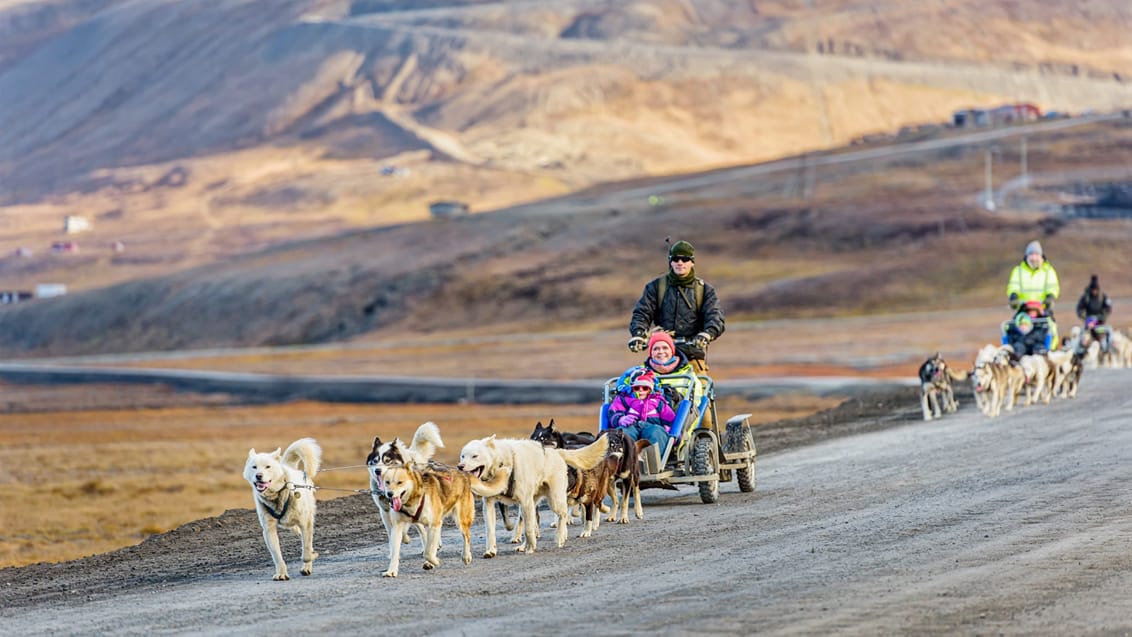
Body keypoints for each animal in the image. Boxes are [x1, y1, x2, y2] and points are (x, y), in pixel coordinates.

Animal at [243, 438, 321, 583]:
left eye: (267, 466)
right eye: (254, 467)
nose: (258, 476)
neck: (277, 495)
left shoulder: (306, 524)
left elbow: (306, 552)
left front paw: (311, 557)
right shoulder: (269, 530)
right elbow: (277, 556)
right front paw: (281, 573)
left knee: (306, 543)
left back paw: (307, 566)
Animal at [455, 436, 606, 556]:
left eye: (475, 456)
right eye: (463, 456)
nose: (460, 466)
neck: (502, 463)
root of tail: (556, 452)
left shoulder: (525, 502)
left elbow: (528, 530)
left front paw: (531, 548)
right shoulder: (489, 505)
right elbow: (491, 531)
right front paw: (490, 551)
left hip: (553, 500)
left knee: (562, 514)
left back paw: (560, 536)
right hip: (532, 505)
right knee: (534, 523)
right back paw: (524, 545)